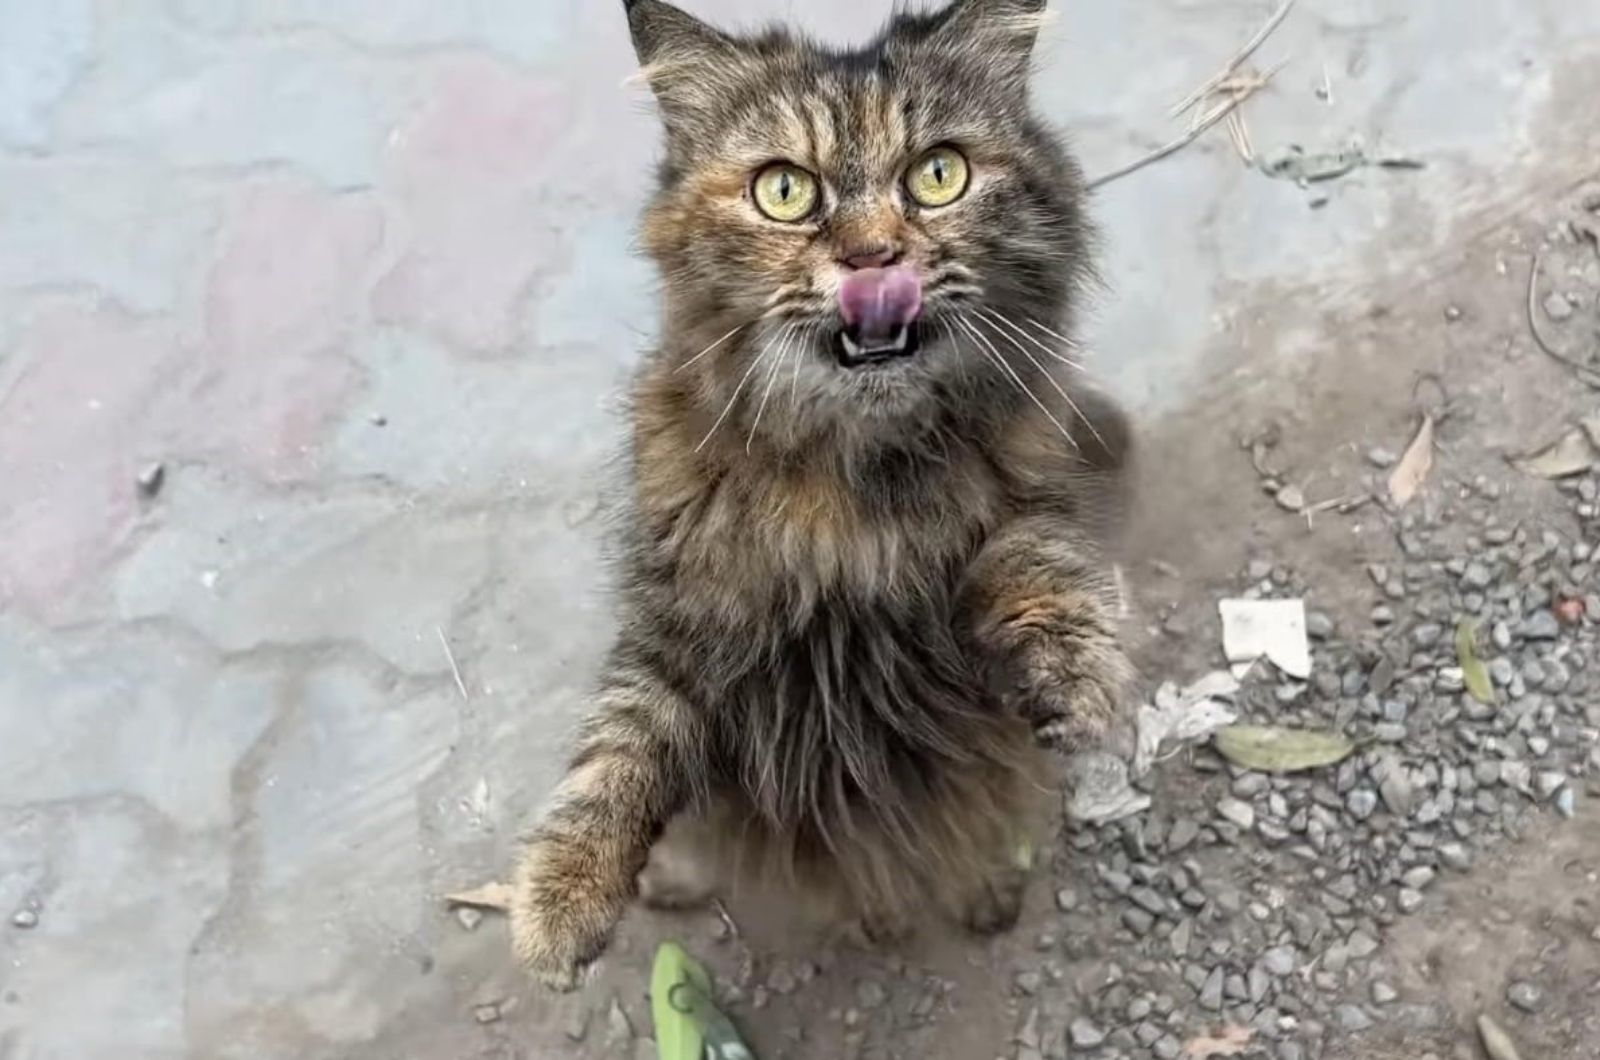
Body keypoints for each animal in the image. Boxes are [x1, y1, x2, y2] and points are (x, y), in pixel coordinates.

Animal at [505, 0, 1132, 986]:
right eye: (785, 192)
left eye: (938, 175)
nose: (873, 257)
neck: (850, 486)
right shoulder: (679, 624)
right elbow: (615, 751)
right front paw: (560, 903)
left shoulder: (1021, 506)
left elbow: (1040, 570)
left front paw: (1075, 673)